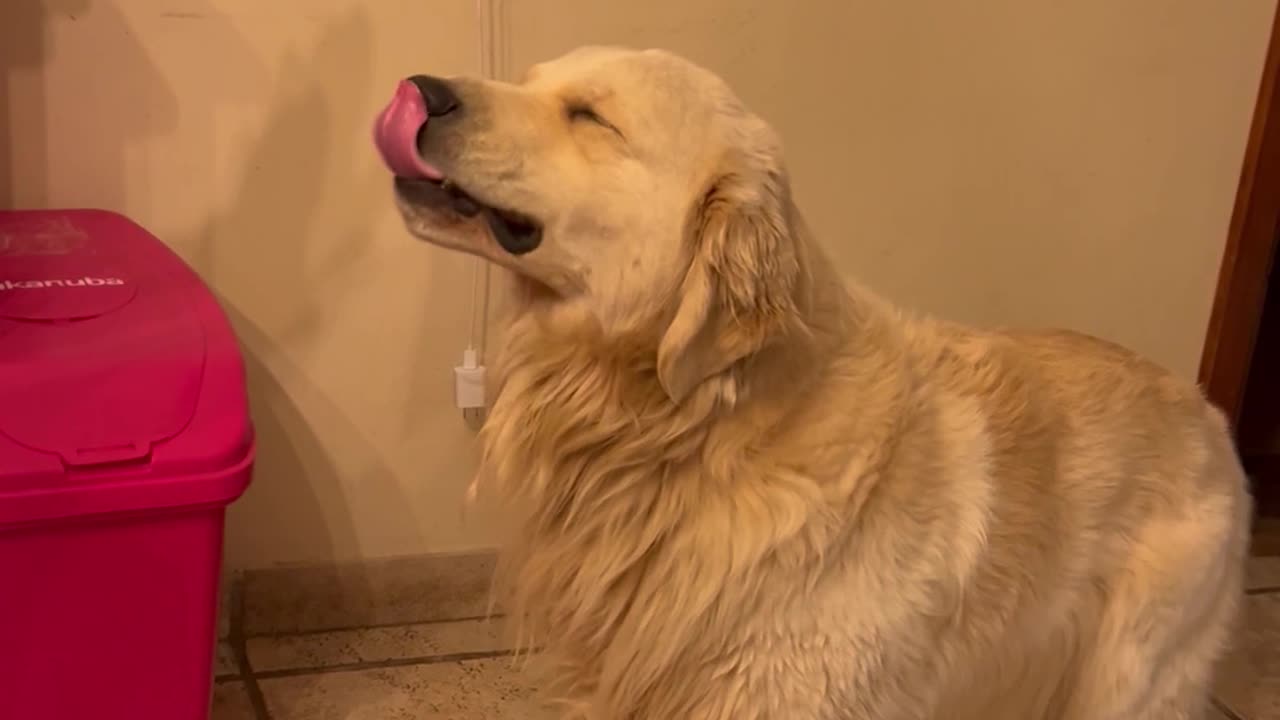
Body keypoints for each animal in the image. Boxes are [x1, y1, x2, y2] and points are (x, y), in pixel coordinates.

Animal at [376, 46, 1249, 717]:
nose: (420, 88)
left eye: (590, 116)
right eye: (531, 79)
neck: (698, 429)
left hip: (1129, 676)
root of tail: (1210, 416)